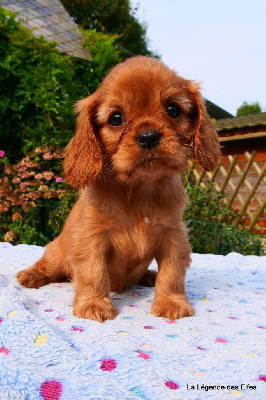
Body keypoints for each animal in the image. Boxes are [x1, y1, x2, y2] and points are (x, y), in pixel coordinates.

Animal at [17, 56, 220, 322]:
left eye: (173, 110)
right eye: (115, 118)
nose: (148, 136)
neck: (139, 188)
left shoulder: (174, 234)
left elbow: (172, 271)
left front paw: (171, 301)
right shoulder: (92, 237)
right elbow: (93, 272)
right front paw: (94, 304)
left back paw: (149, 276)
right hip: (55, 253)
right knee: (48, 266)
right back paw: (32, 275)